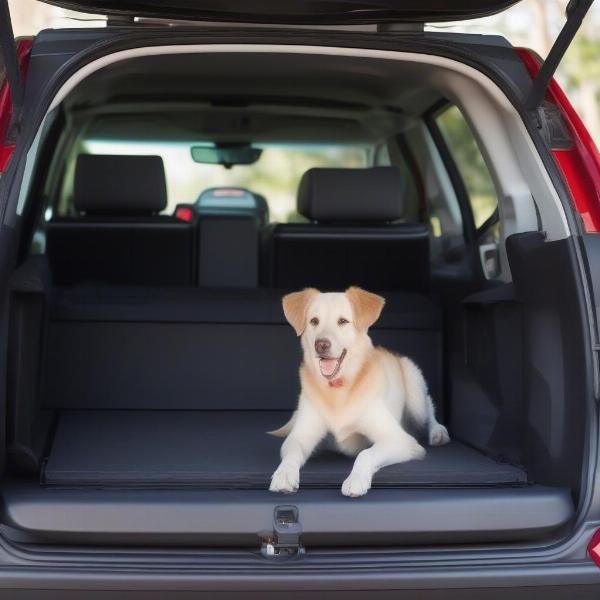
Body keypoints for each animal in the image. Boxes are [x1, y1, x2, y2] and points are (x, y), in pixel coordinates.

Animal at [270, 286, 448, 496]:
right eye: (314, 321)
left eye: (343, 321)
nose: (321, 345)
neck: (338, 387)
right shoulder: (300, 436)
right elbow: (291, 453)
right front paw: (284, 474)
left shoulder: (401, 440)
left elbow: (365, 454)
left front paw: (356, 479)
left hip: (414, 388)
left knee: (428, 409)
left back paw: (438, 432)